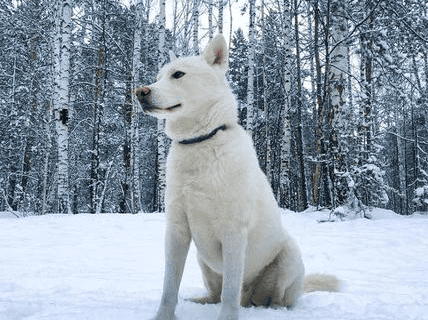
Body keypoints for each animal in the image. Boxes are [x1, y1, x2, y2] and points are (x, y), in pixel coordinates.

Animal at [135, 35, 340, 320]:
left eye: (178, 74)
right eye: (158, 77)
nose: (140, 92)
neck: (201, 142)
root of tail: (250, 297)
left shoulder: (233, 232)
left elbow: (229, 291)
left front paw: (228, 317)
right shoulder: (176, 230)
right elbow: (169, 286)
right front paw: (163, 316)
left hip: (288, 256)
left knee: (272, 298)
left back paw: (274, 307)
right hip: (203, 259)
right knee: (215, 294)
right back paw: (201, 300)